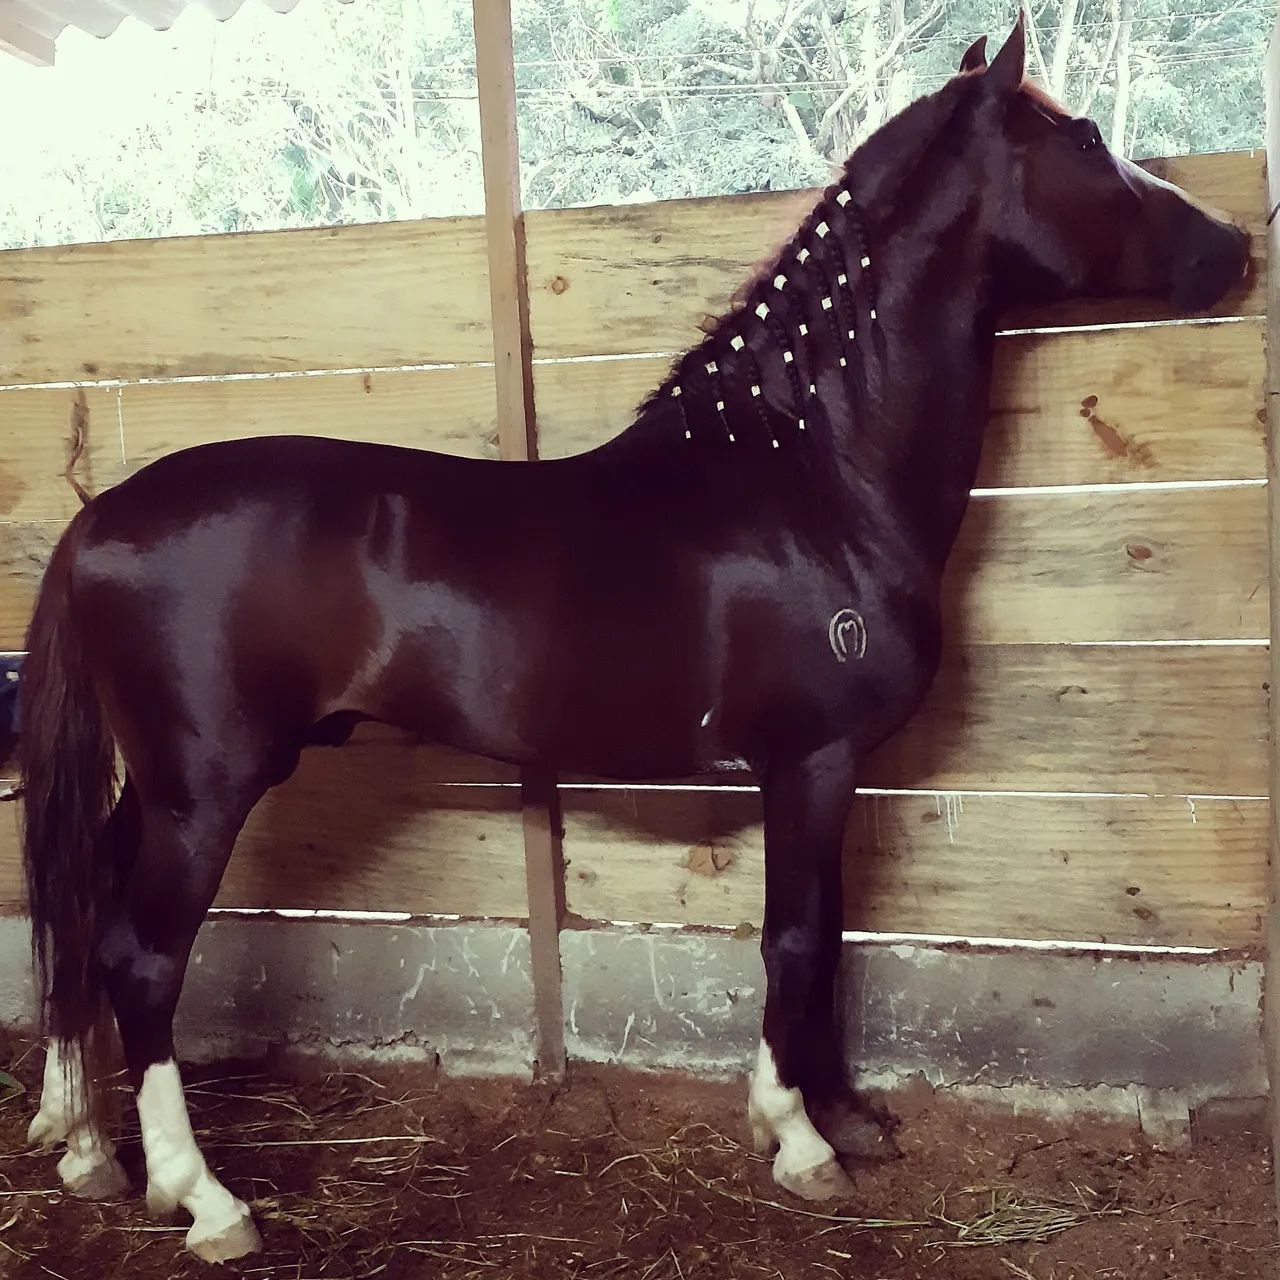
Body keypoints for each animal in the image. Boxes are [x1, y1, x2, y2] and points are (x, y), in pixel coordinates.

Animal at [9, 15, 1249, 1265]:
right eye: (1081, 139)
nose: (1235, 246)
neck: (811, 479)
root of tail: (99, 518)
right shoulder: (809, 760)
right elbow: (796, 937)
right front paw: (799, 1138)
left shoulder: (831, 769)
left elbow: (827, 933)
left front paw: (843, 1111)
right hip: (204, 790)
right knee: (141, 956)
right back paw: (202, 1195)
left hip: (156, 786)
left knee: (81, 910)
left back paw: (85, 1147)